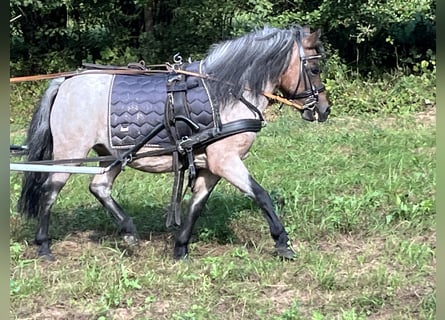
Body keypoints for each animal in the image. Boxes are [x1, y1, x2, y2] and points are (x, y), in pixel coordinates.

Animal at [17, 25, 330, 260]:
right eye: (314, 69)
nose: (324, 110)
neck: (227, 94)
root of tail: (66, 81)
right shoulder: (226, 161)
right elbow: (261, 195)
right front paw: (283, 242)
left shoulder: (210, 167)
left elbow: (196, 206)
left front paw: (180, 249)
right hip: (71, 152)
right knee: (49, 191)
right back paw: (43, 246)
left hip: (113, 153)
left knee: (99, 186)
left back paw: (129, 232)